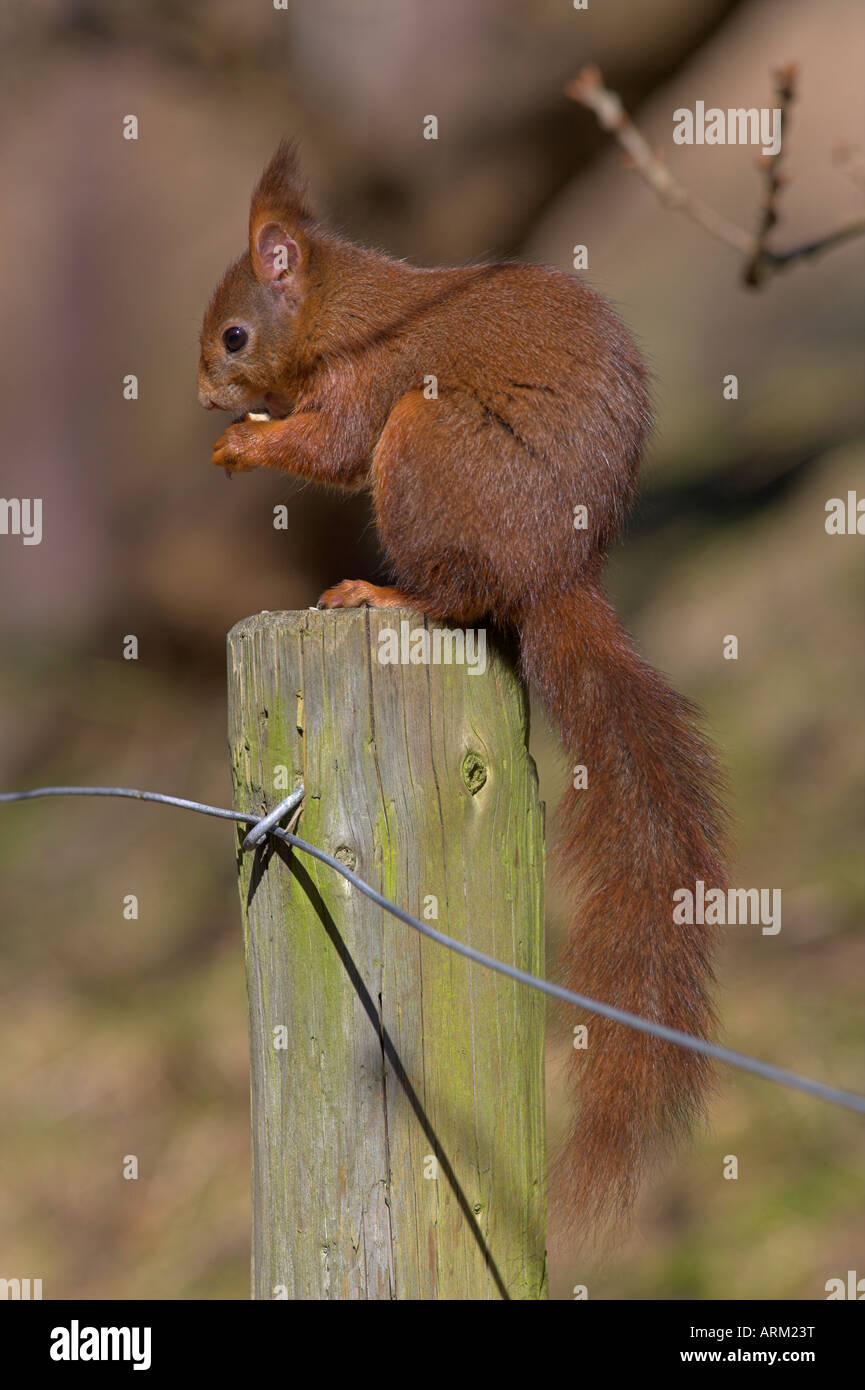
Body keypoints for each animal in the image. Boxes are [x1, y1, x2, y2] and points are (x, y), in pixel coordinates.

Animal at [198, 141, 734, 1228]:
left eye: (234, 334)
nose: (201, 395)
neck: (346, 312)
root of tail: (555, 575)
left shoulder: (370, 382)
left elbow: (329, 445)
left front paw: (247, 443)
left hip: (423, 437)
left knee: (454, 595)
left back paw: (381, 591)